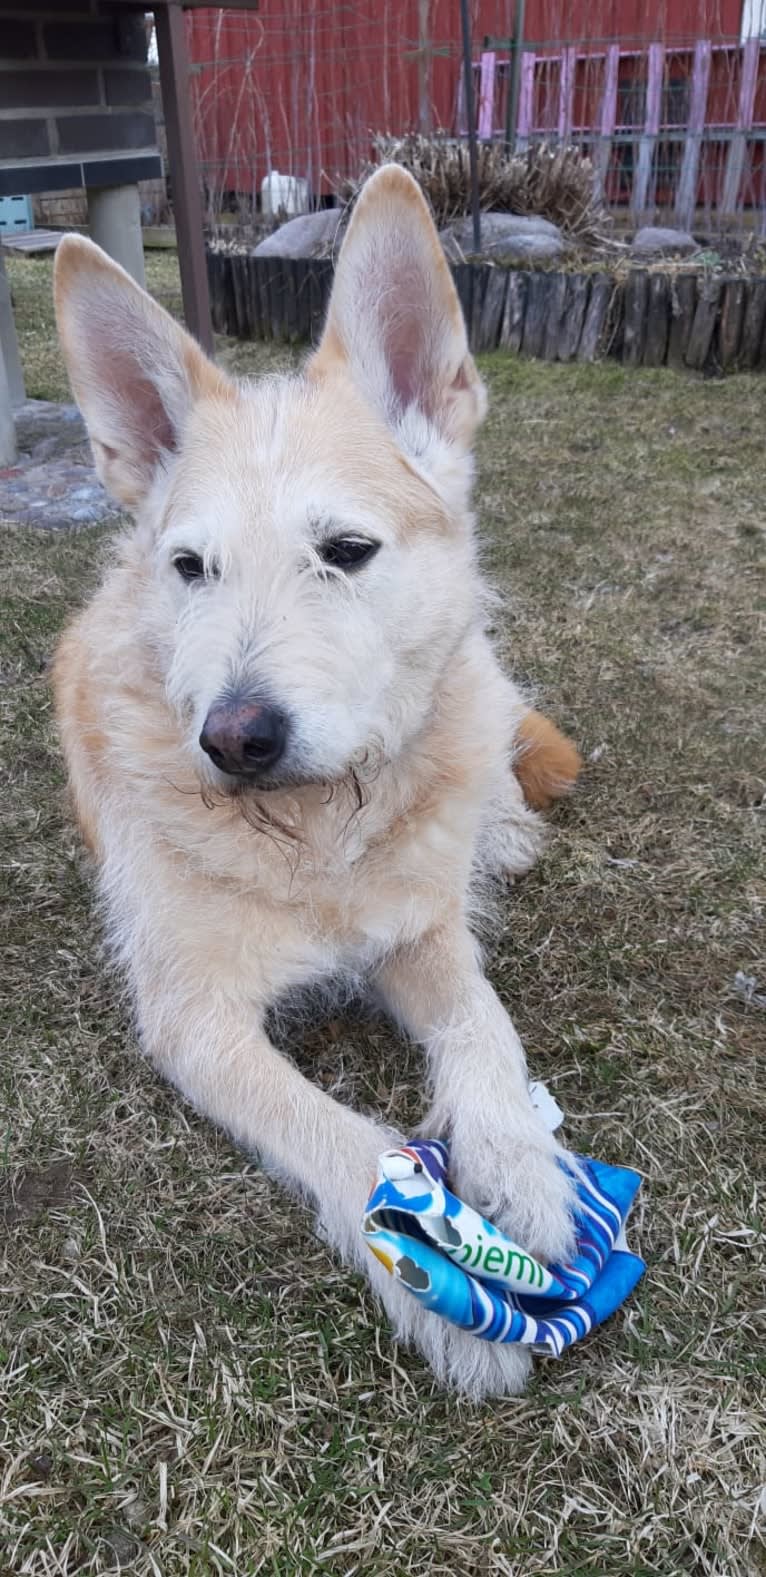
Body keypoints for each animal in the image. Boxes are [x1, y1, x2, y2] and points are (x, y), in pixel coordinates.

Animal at [52, 166, 580, 1400]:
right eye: (190, 567)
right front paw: (440, 1288)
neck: (316, 835)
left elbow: (484, 1023)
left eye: (344, 550)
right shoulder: (196, 1020)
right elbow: (349, 1138)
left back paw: (500, 830)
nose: (234, 737)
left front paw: (524, 1166)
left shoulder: (421, 928)